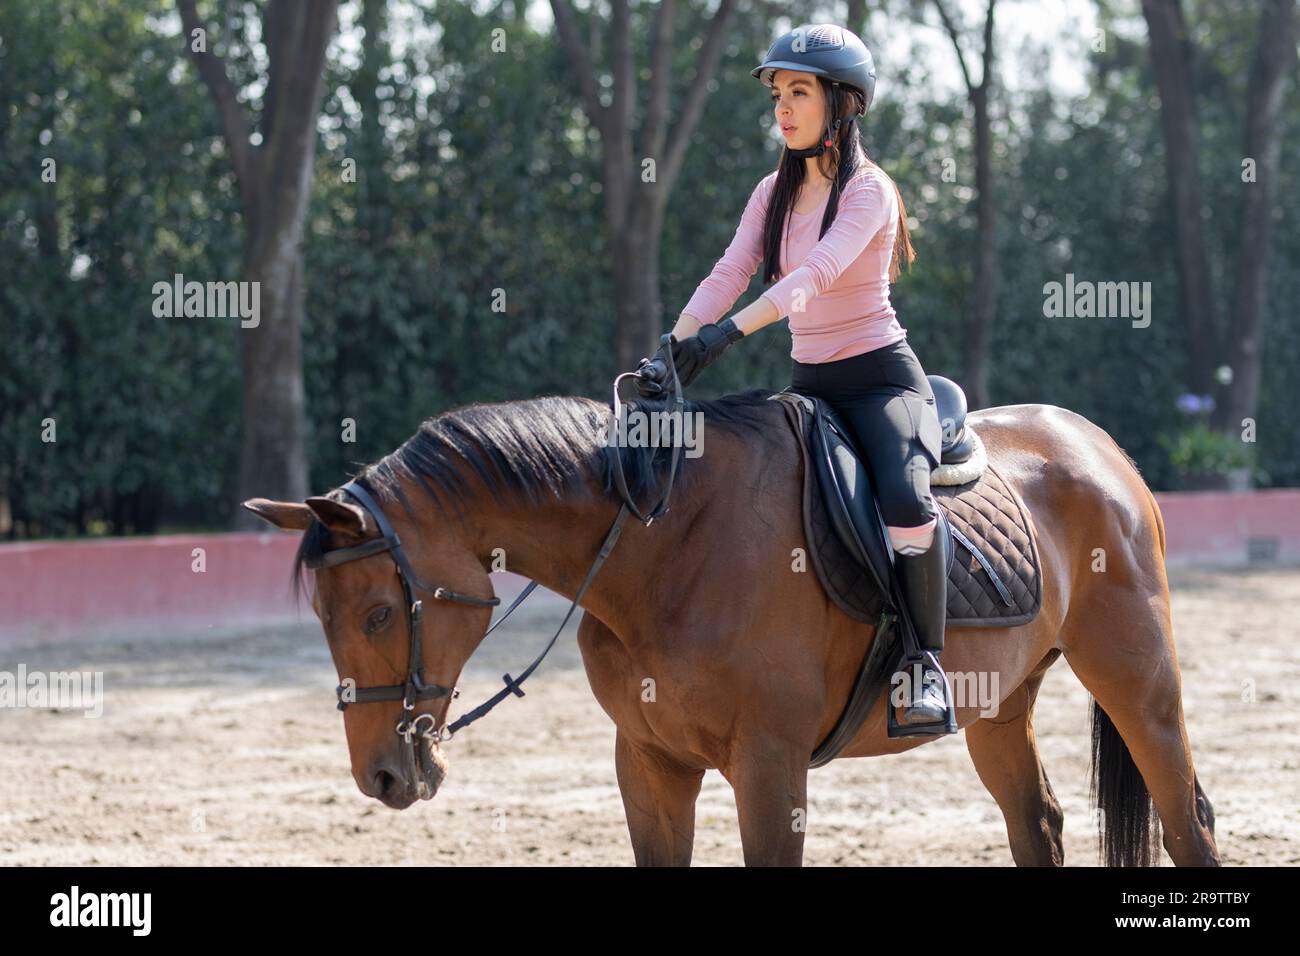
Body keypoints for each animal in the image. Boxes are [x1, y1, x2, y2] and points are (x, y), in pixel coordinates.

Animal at [242, 388, 1220, 866]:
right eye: (324, 616)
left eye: (378, 611)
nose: (381, 773)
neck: (660, 544)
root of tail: (1097, 447)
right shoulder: (648, 765)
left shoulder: (769, 767)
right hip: (1000, 708)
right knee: (1036, 825)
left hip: (1138, 680)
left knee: (1187, 822)